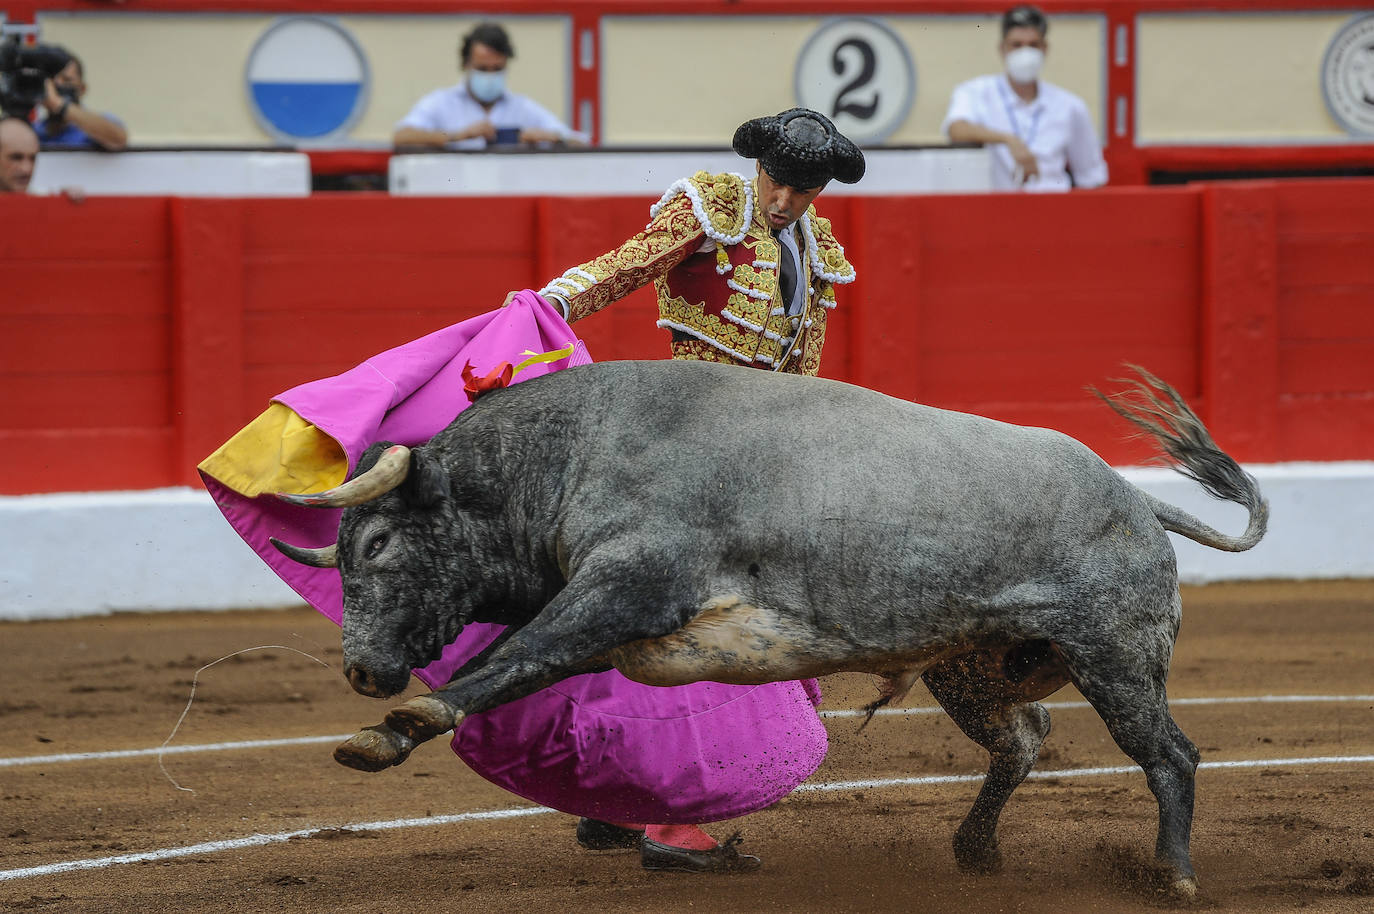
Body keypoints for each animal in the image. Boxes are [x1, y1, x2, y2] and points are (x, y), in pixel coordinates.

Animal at [273, 360, 1269, 896]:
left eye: (378, 541)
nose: (363, 671)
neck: (567, 456)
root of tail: (1136, 499)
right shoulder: (606, 606)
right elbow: (528, 665)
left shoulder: (629, 586)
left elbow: (514, 658)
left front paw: (392, 730)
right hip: (975, 666)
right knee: (1024, 738)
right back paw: (976, 849)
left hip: (1115, 653)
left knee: (1169, 754)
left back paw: (1174, 875)